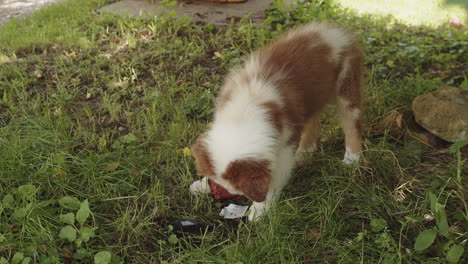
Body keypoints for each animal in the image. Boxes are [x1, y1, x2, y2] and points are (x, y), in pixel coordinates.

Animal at [189, 22, 362, 221]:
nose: (219, 191)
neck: (245, 111)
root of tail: (335, 28)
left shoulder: (285, 145)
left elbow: (274, 179)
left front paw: (259, 210)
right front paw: (201, 184)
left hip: (346, 84)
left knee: (351, 124)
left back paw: (352, 159)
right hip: (313, 96)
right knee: (313, 120)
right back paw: (305, 153)